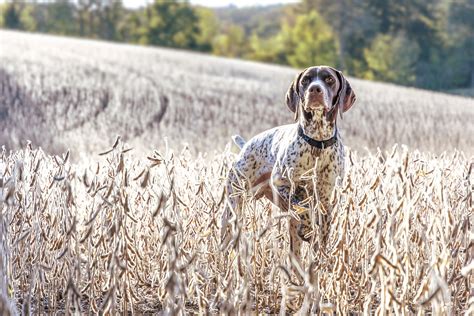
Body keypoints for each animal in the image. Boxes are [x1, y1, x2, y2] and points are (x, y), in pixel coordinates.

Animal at [222, 65, 356, 258]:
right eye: (305, 80)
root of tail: (246, 145)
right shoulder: (282, 183)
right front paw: (307, 229)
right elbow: (301, 206)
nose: (315, 89)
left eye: (329, 79)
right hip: (233, 207)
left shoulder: (325, 201)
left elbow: (320, 238)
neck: (317, 143)